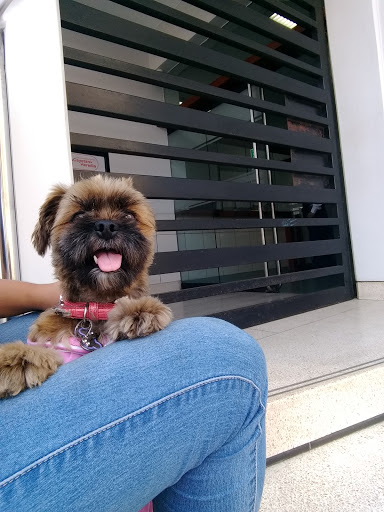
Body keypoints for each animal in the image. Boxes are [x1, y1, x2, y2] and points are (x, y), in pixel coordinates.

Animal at [0, 174, 172, 398]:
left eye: (129, 215)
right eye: (79, 214)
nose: (106, 226)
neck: (93, 307)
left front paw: (137, 310)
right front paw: (16, 359)